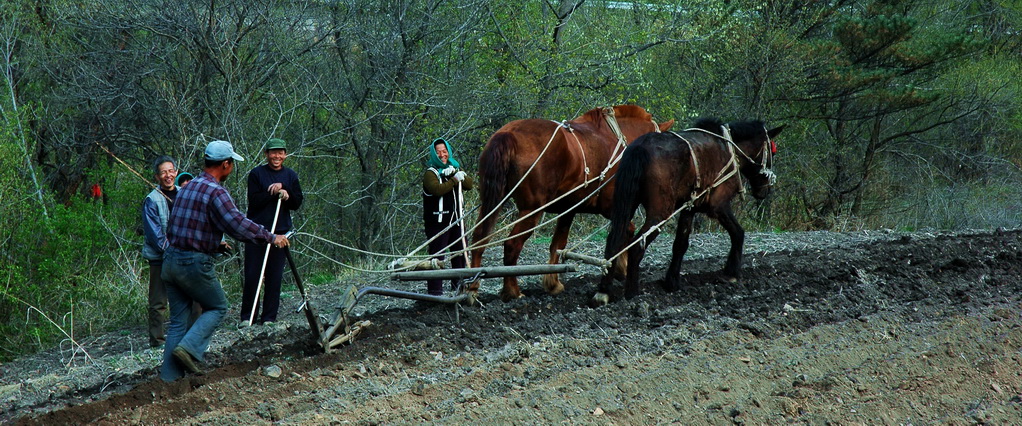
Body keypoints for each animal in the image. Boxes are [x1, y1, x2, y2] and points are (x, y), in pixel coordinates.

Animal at [468, 104, 674, 300]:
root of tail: (508, 134)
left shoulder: (568, 210)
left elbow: (558, 244)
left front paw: (553, 283)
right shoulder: (611, 206)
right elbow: (626, 230)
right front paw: (620, 268)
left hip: (493, 201)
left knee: (479, 237)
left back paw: (472, 288)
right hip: (531, 209)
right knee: (512, 244)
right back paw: (512, 291)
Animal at [596, 116, 784, 302]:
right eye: (772, 152)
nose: (765, 190)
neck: (729, 149)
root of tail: (640, 147)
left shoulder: (689, 208)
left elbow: (680, 244)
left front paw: (672, 282)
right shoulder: (719, 206)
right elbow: (738, 233)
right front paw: (731, 273)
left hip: (628, 204)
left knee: (614, 242)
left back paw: (604, 291)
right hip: (660, 213)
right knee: (636, 247)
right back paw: (632, 293)